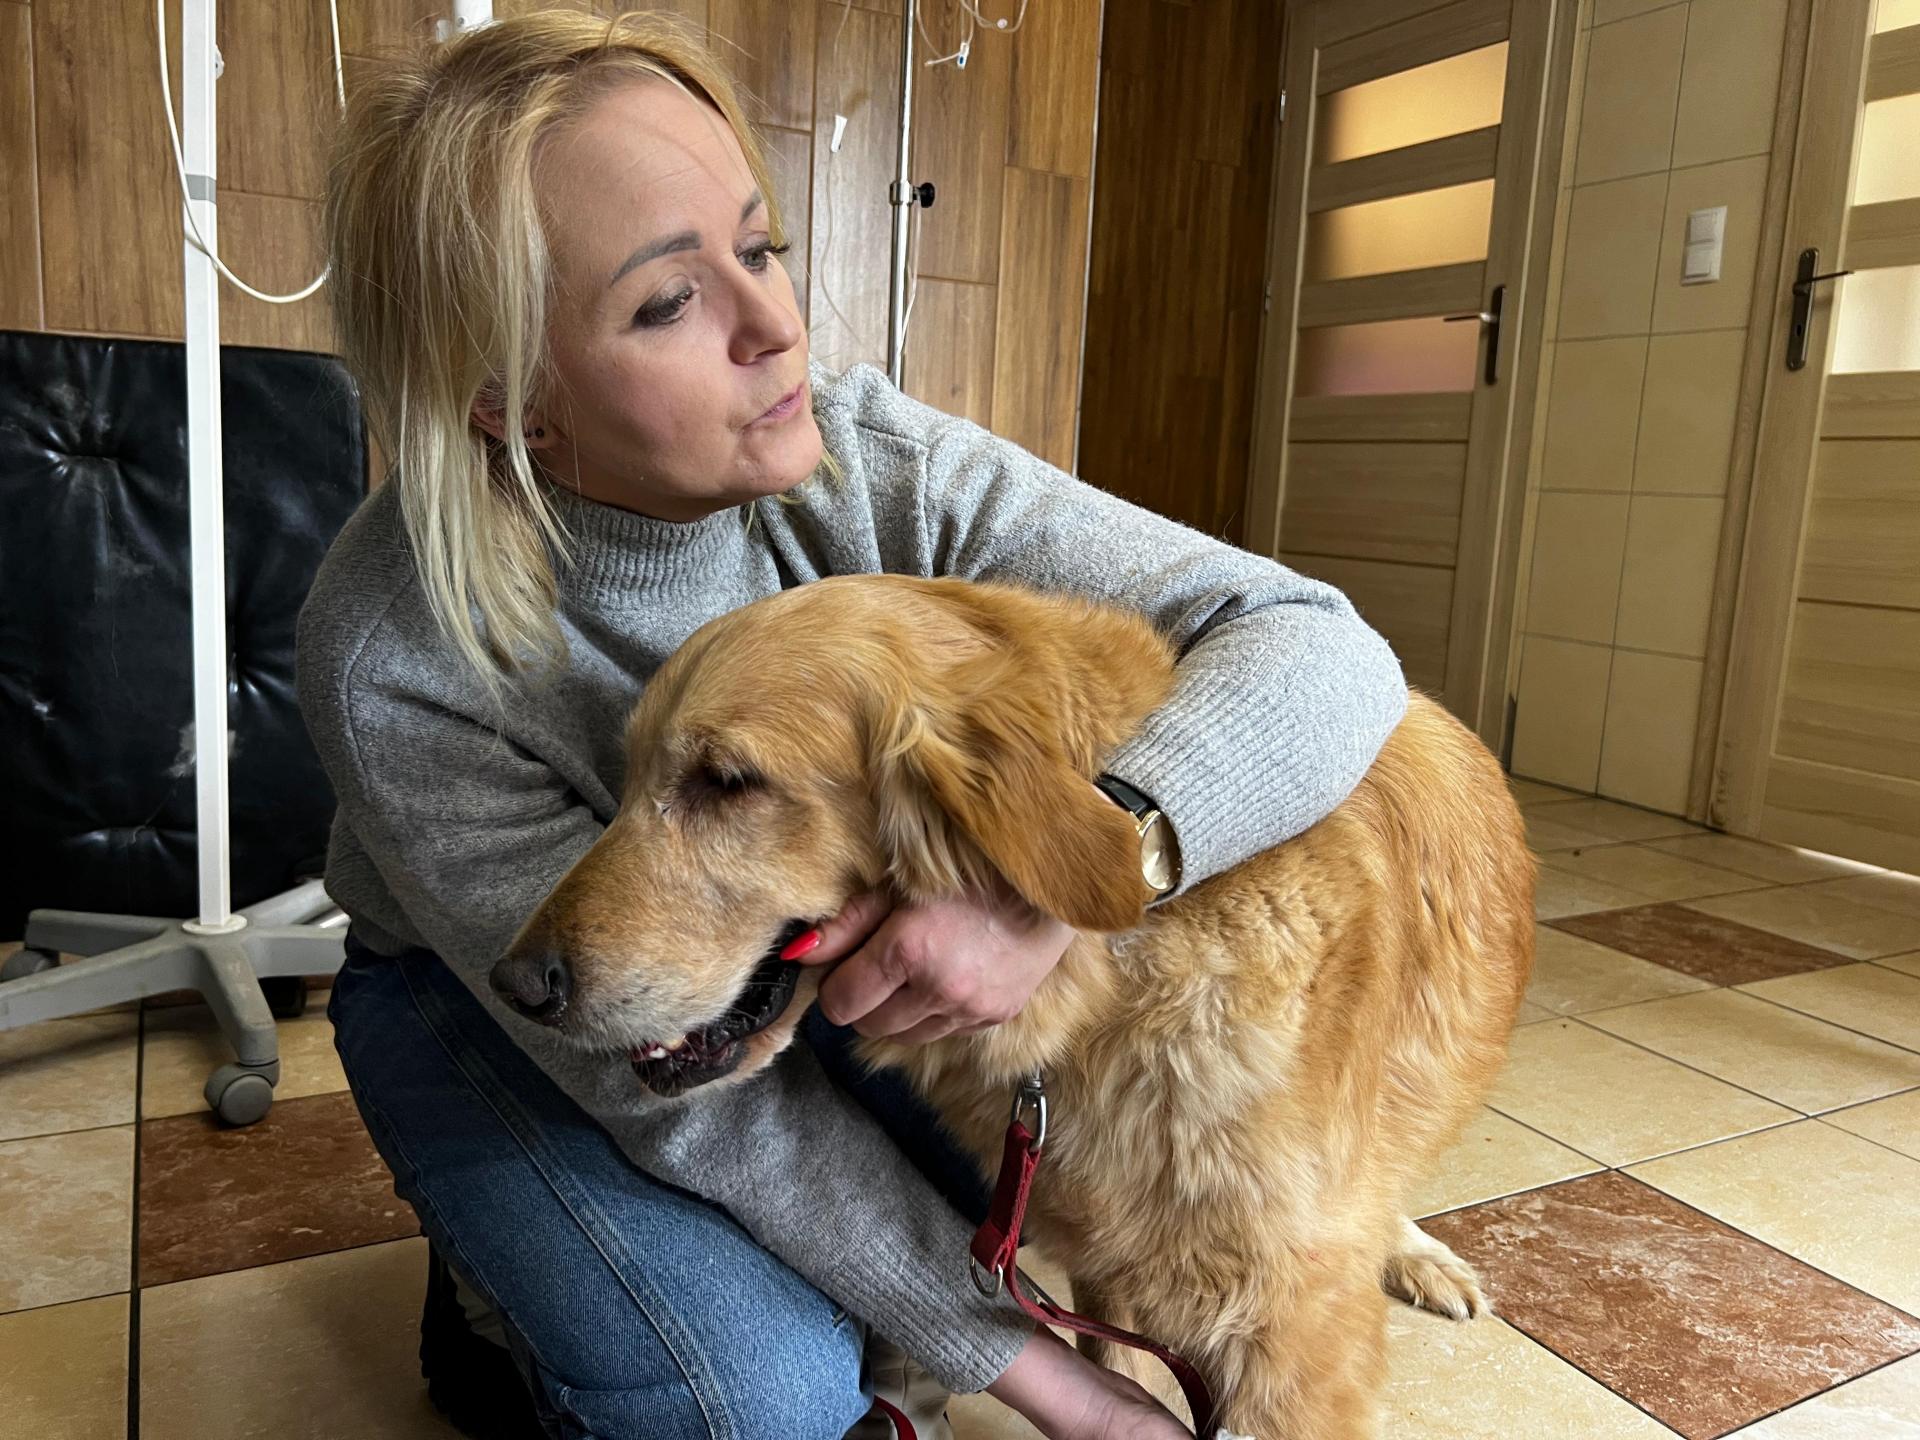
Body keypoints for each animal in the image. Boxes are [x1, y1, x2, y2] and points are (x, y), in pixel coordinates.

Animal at [496, 574, 1536, 1439]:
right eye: (627, 778)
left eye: (727, 781)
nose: (514, 985)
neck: (1105, 995)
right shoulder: (1106, 1271)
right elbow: (1116, 1372)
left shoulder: (1292, 1345)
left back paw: (1418, 1254)